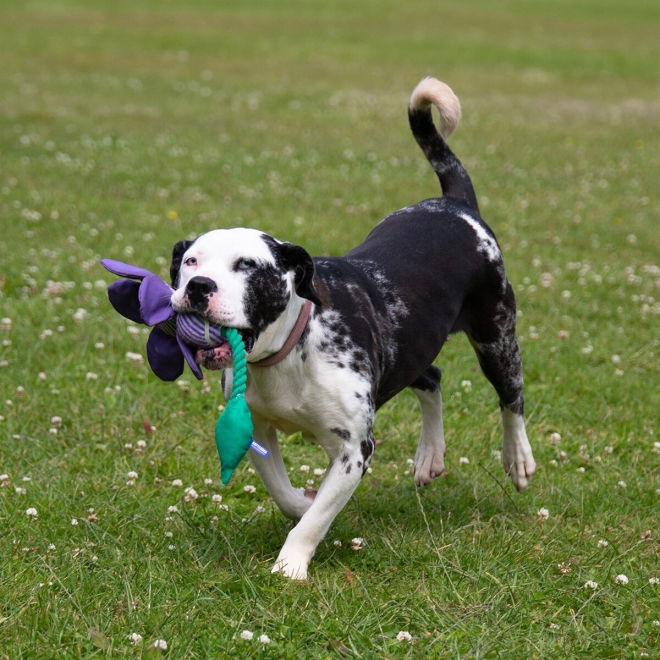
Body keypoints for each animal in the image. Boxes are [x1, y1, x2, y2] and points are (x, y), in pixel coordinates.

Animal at [168, 77, 532, 580]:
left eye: (247, 265)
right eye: (190, 261)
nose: (199, 286)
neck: (291, 350)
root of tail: (456, 204)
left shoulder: (353, 449)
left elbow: (316, 518)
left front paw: (290, 565)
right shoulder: (259, 428)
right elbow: (286, 494)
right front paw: (303, 505)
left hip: (495, 336)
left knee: (511, 398)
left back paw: (517, 457)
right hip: (409, 345)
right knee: (432, 377)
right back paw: (430, 454)